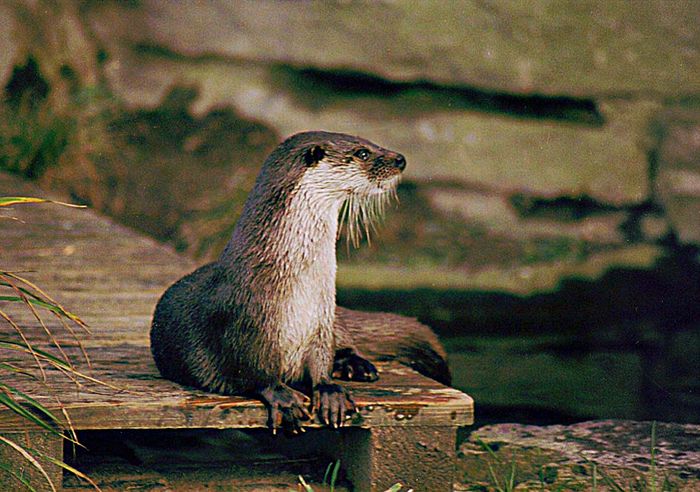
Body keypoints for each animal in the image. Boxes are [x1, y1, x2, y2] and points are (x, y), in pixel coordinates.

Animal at [151, 129, 452, 432]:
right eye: (363, 152)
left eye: (370, 143)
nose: (400, 159)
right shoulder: (241, 324)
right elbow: (250, 370)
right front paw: (282, 397)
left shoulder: (321, 320)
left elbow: (321, 358)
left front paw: (329, 390)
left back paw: (356, 365)